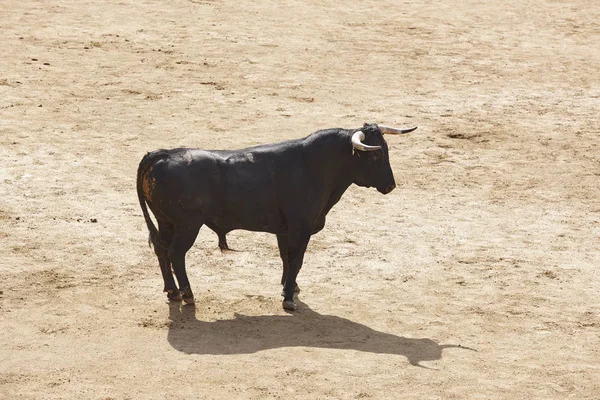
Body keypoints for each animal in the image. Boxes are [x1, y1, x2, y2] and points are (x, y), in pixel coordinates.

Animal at [136, 123, 418, 310]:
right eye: (376, 153)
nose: (391, 186)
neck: (313, 165)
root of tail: (159, 154)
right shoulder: (302, 227)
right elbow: (296, 259)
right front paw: (289, 298)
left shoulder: (285, 230)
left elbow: (285, 257)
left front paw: (288, 287)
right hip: (187, 225)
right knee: (176, 253)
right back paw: (187, 294)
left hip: (166, 222)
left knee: (161, 250)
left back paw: (172, 291)